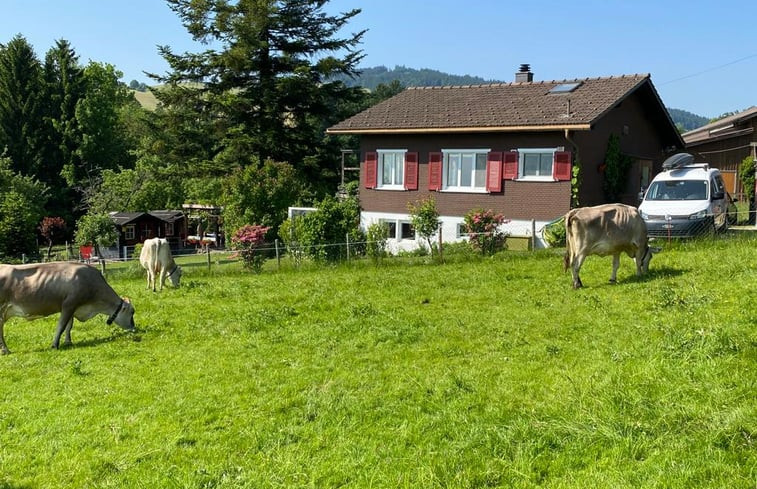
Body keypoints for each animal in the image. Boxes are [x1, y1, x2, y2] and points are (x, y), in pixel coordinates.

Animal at [0, 262, 134, 352]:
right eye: (132, 312)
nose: (134, 328)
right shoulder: (68, 305)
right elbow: (61, 326)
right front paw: (55, 345)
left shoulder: (73, 308)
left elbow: (69, 326)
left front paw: (68, 342)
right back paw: (5, 350)